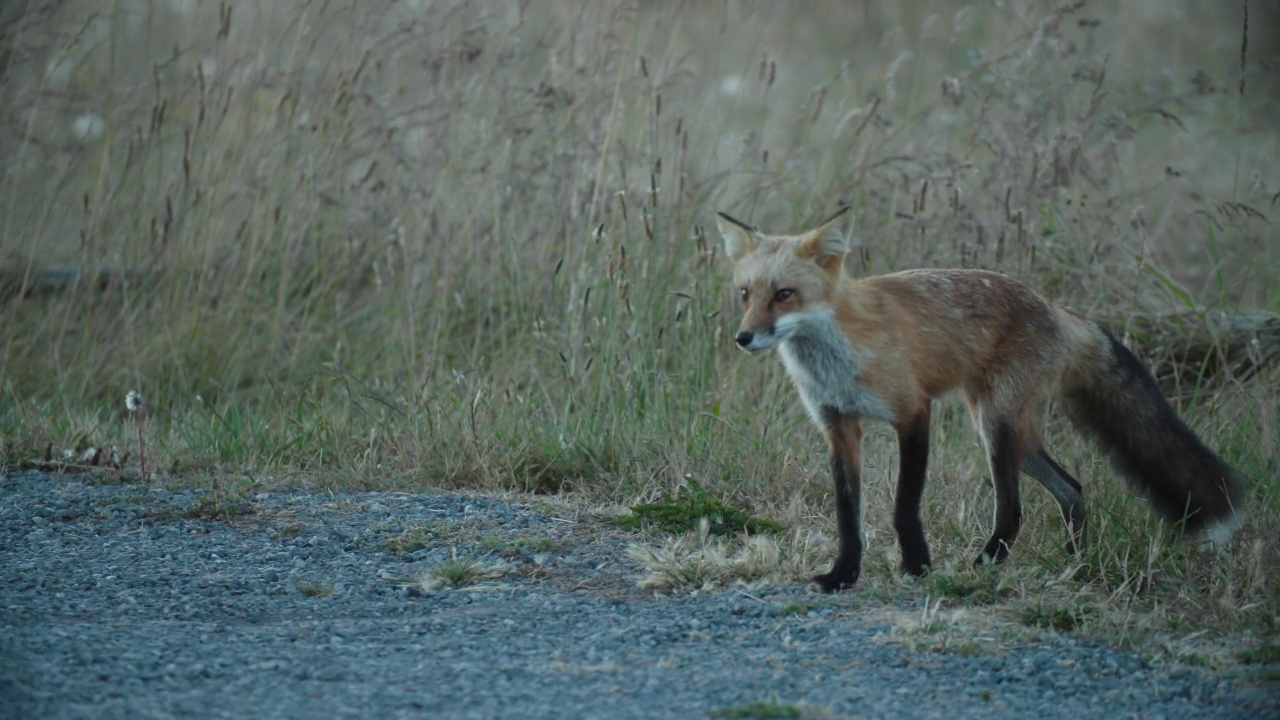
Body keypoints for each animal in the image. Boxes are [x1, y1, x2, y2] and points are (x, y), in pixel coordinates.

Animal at [727, 206, 1244, 589]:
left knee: (1013, 510)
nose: (743, 338)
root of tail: (1054, 307)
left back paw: (985, 565)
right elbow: (847, 515)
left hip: (996, 427)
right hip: (1008, 436)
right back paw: (1075, 562)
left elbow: (904, 505)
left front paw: (917, 567)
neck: (836, 358)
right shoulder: (838, 427)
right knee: (1073, 489)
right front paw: (843, 575)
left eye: (785, 294)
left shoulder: (913, 413)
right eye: (745, 294)